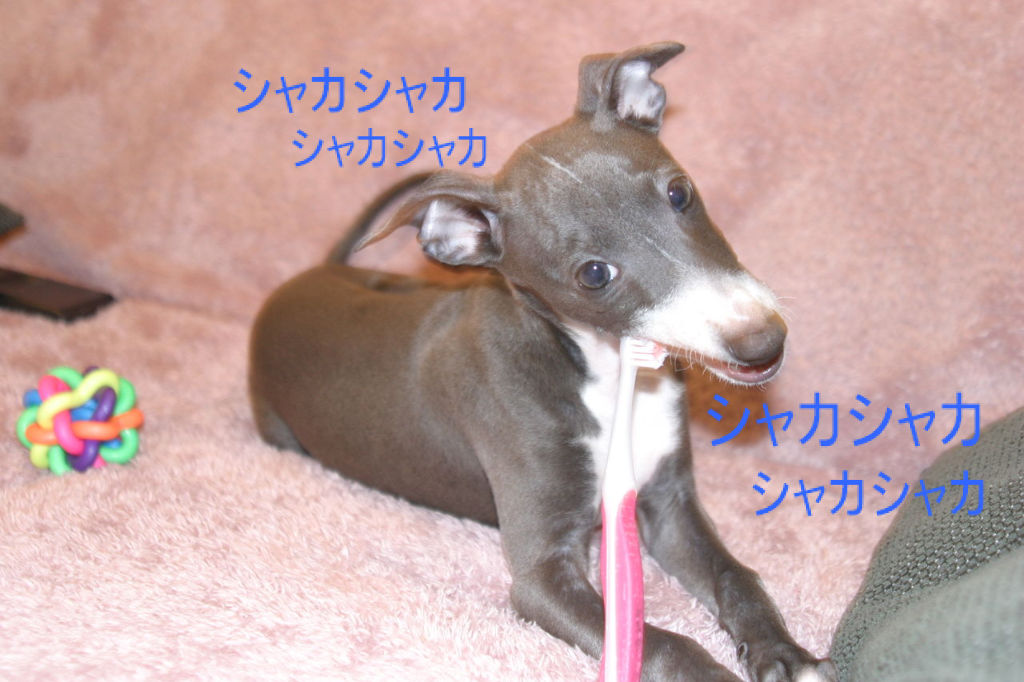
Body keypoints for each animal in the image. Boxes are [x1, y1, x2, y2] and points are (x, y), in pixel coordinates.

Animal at [249, 42, 836, 682]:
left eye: (679, 193)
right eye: (594, 274)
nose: (762, 342)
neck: (603, 377)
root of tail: (306, 277)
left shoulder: (668, 503)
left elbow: (737, 575)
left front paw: (785, 652)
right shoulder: (542, 575)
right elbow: (661, 642)